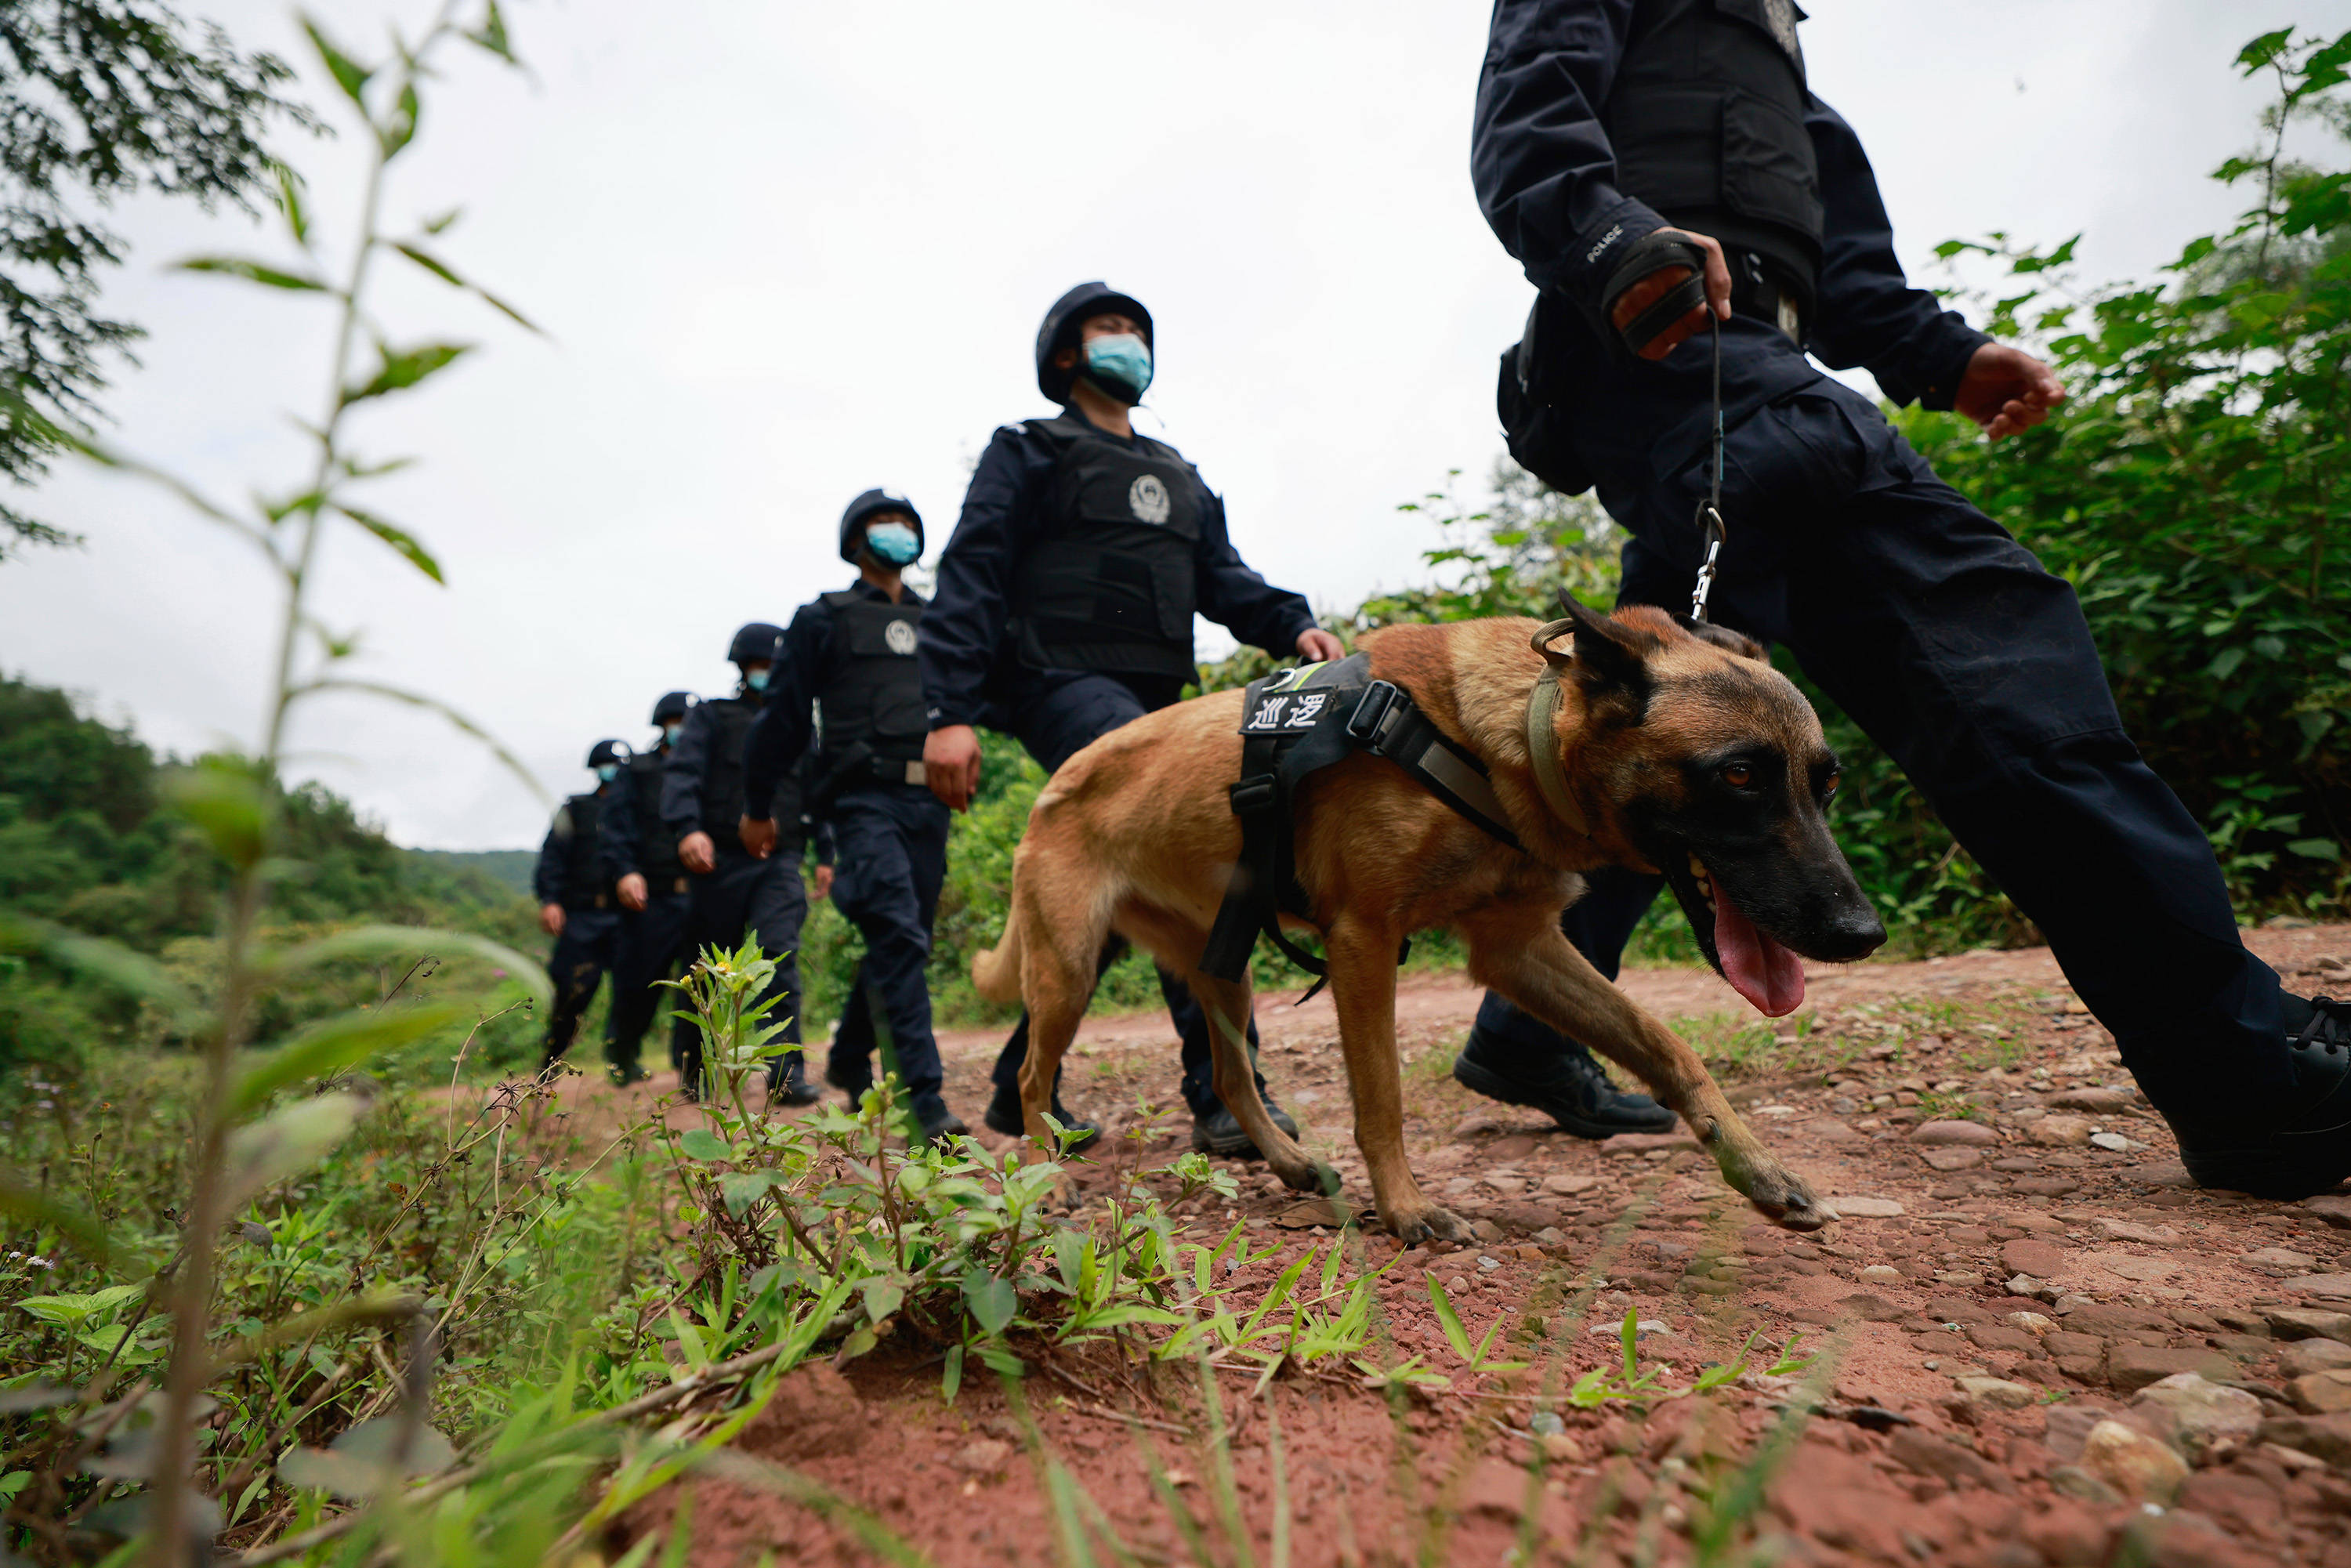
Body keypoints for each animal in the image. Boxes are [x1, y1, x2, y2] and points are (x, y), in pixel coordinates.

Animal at [964, 597, 1881, 1241]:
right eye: (1738, 776)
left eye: (1826, 782)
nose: (1861, 932)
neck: (1494, 735)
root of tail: (1051, 789)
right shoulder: (1364, 943)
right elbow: (1384, 1097)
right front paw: (1405, 1209)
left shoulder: (1518, 947)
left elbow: (1668, 1046)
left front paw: (1759, 1170)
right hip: (1070, 969)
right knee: (1031, 1074)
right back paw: (1047, 1170)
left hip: (1226, 963)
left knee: (1229, 1076)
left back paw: (1290, 1164)